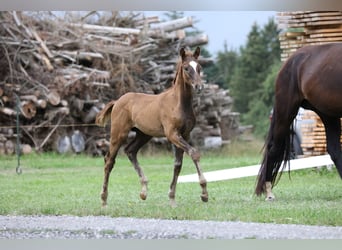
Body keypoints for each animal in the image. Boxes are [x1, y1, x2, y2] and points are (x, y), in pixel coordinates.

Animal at [95, 47, 208, 207]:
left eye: (199, 67)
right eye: (186, 68)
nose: (199, 87)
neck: (178, 103)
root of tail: (117, 101)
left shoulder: (185, 134)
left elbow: (178, 164)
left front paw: (172, 198)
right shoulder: (172, 134)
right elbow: (194, 153)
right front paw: (204, 193)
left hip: (143, 135)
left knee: (130, 151)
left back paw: (143, 191)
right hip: (119, 134)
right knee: (109, 161)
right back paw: (104, 200)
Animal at [255, 43, 340, 201]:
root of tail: (289, 62)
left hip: (328, 114)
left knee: (334, 151)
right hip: (287, 111)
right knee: (273, 148)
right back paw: (269, 193)